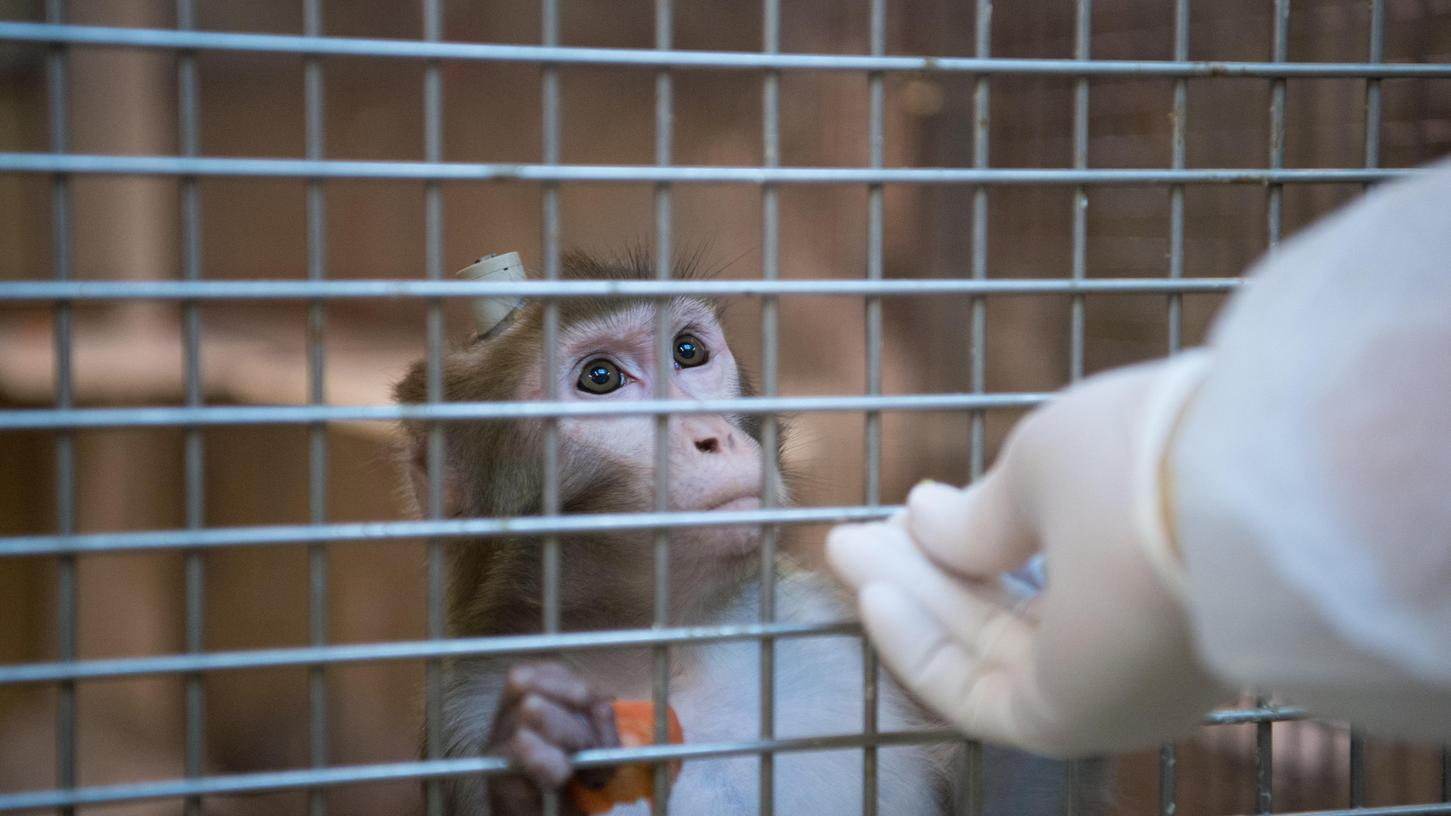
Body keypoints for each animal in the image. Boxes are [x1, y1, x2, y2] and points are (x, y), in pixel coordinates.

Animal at [391, 251, 1102, 807]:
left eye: (688, 351)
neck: (674, 647)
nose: (713, 437)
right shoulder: (464, 708)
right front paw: (538, 746)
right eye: (601, 378)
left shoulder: (816, 622)